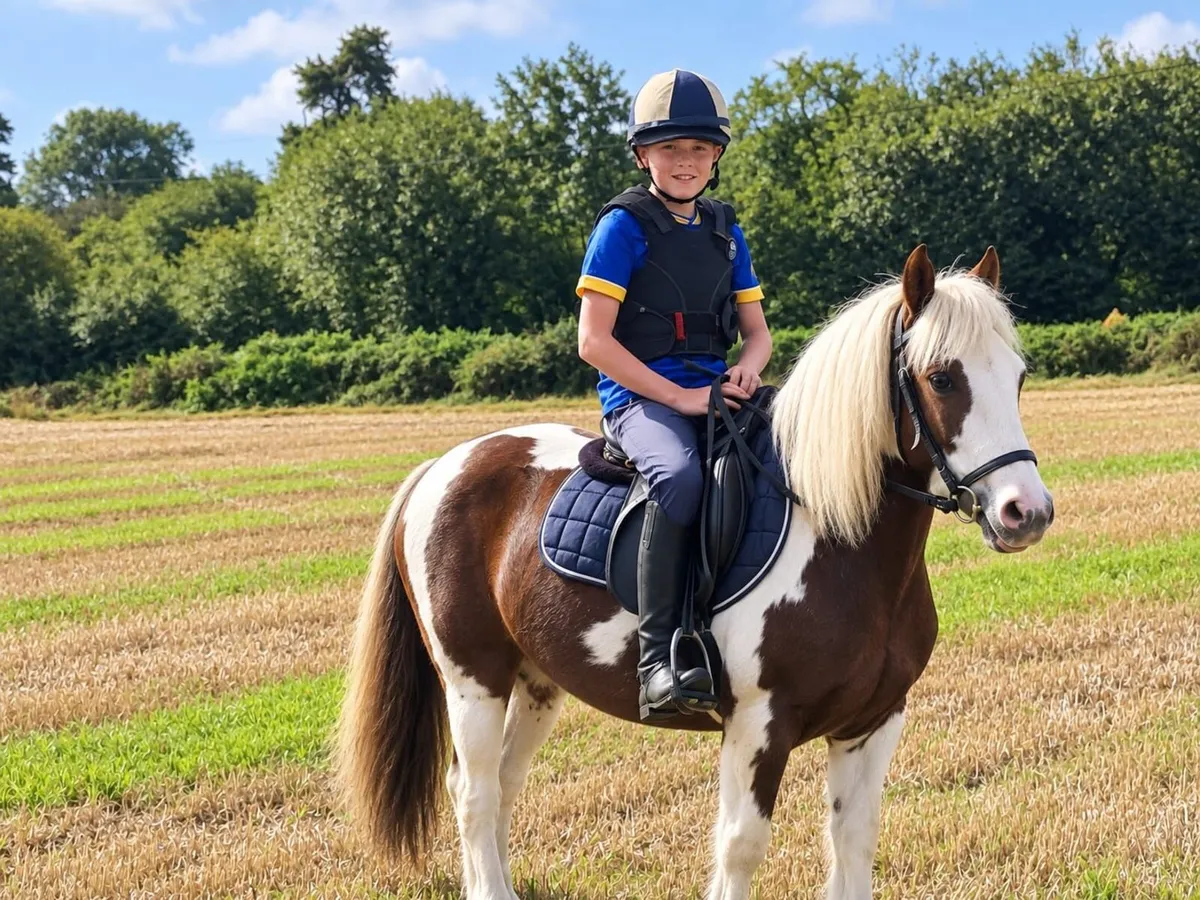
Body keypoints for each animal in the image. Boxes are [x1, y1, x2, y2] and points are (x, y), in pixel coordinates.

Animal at [334, 244, 1056, 900]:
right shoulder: (760, 724)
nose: (1026, 512)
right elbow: (741, 847)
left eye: (1019, 377)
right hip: (472, 680)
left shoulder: (874, 721)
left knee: (504, 784)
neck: (841, 541)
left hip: (535, 679)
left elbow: (854, 842)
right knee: (474, 791)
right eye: (941, 378)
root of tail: (445, 465)